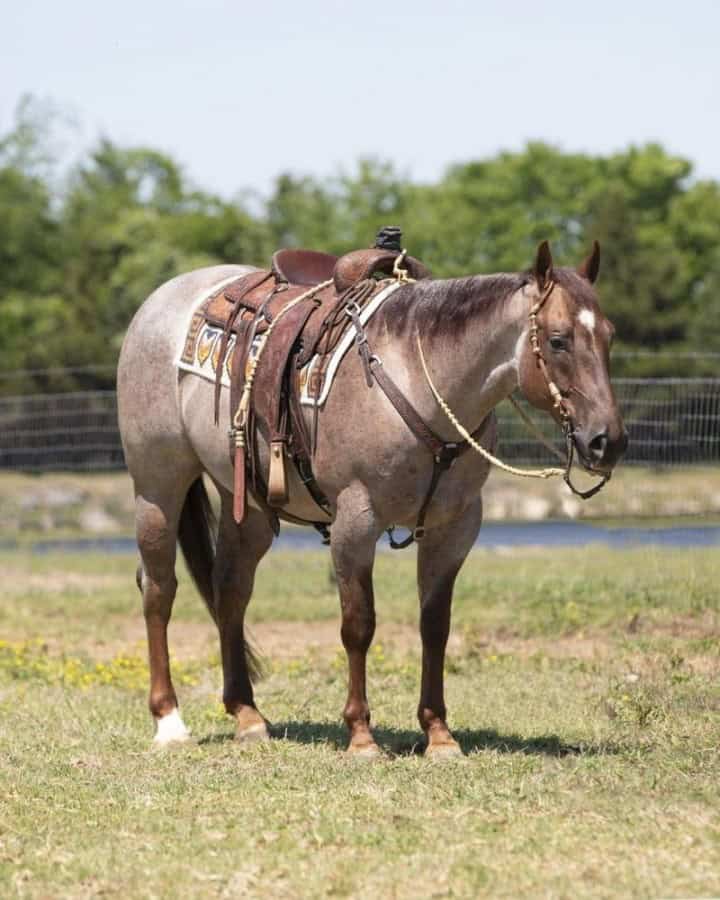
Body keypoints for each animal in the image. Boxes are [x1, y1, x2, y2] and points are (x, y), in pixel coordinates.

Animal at [117, 239, 627, 757]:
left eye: (609, 335)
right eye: (559, 339)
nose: (607, 441)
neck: (421, 382)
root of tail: (162, 299)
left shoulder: (454, 527)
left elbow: (435, 625)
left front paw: (438, 733)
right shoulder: (355, 523)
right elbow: (358, 625)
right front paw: (361, 733)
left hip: (248, 503)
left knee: (230, 590)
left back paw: (247, 714)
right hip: (158, 485)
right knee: (158, 589)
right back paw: (169, 720)